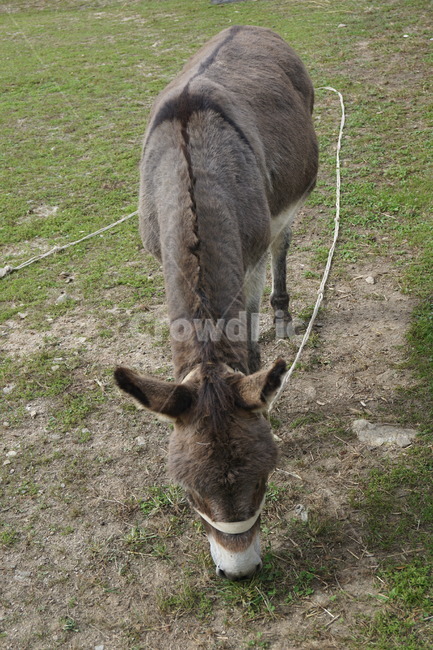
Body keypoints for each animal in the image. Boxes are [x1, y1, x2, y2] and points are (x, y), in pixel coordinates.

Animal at [115, 25, 318, 580]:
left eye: (266, 479)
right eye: (187, 492)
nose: (239, 572)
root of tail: (247, 27)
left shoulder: (248, 259)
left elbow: (248, 334)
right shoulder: (159, 256)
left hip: (286, 203)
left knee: (283, 242)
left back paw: (283, 313)